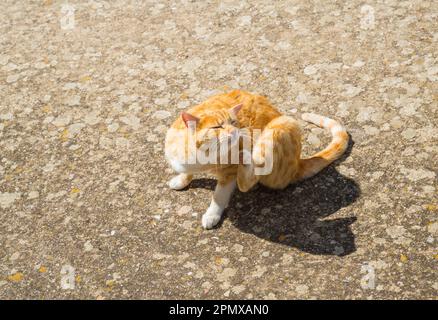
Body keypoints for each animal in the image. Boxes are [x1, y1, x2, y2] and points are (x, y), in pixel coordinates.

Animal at [164, 90, 350, 229]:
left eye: (234, 122)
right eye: (217, 126)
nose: (235, 131)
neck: (202, 157)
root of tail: (298, 163)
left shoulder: (229, 173)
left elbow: (219, 196)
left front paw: (212, 215)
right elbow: (185, 171)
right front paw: (182, 179)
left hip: (280, 126)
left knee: (248, 180)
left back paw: (248, 157)